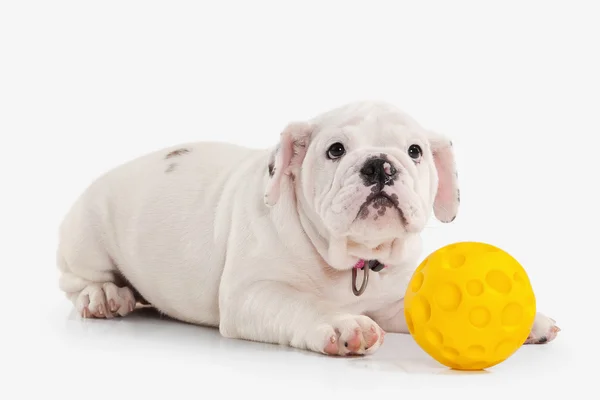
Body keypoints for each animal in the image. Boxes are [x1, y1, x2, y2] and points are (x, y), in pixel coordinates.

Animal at [55, 101, 556, 354]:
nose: (380, 165)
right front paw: (341, 324)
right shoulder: (254, 294)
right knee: (78, 281)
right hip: (86, 235)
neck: (353, 259)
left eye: (415, 151)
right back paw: (105, 296)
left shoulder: (393, 299)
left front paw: (524, 321)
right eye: (335, 150)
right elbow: (305, 306)